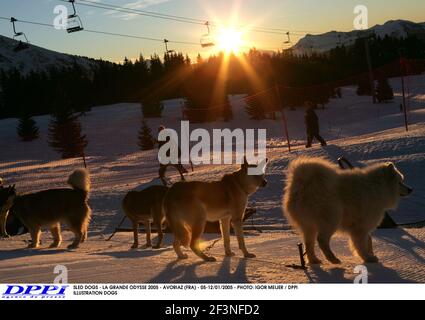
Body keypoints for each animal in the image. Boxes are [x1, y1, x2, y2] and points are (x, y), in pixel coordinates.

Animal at [282, 158, 410, 264]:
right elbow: (361, 244)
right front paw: (367, 258)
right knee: (322, 240)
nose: (411, 189)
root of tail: (302, 185)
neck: (376, 187)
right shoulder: (360, 227)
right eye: (400, 182)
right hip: (332, 218)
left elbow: (369, 241)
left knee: (309, 244)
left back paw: (314, 260)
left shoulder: (363, 227)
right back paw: (333, 259)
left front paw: (371, 255)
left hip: (309, 226)